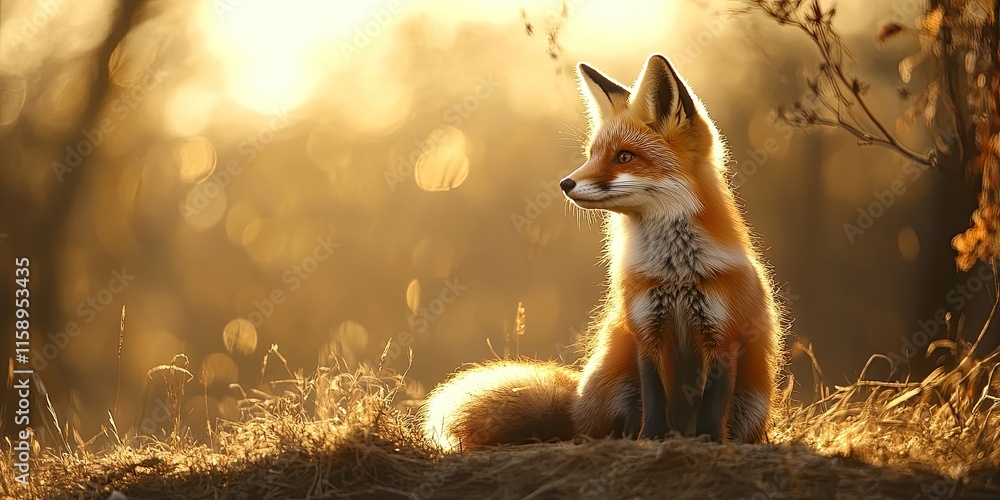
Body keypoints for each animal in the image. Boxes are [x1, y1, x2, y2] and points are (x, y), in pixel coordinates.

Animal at [421, 54, 783, 451]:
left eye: (624, 156)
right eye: (592, 155)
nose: (565, 183)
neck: (675, 271)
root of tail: (574, 409)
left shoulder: (723, 337)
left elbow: (711, 410)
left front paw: (711, 443)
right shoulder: (646, 332)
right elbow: (654, 402)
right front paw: (650, 441)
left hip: (753, 398)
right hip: (616, 380)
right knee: (597, 428)